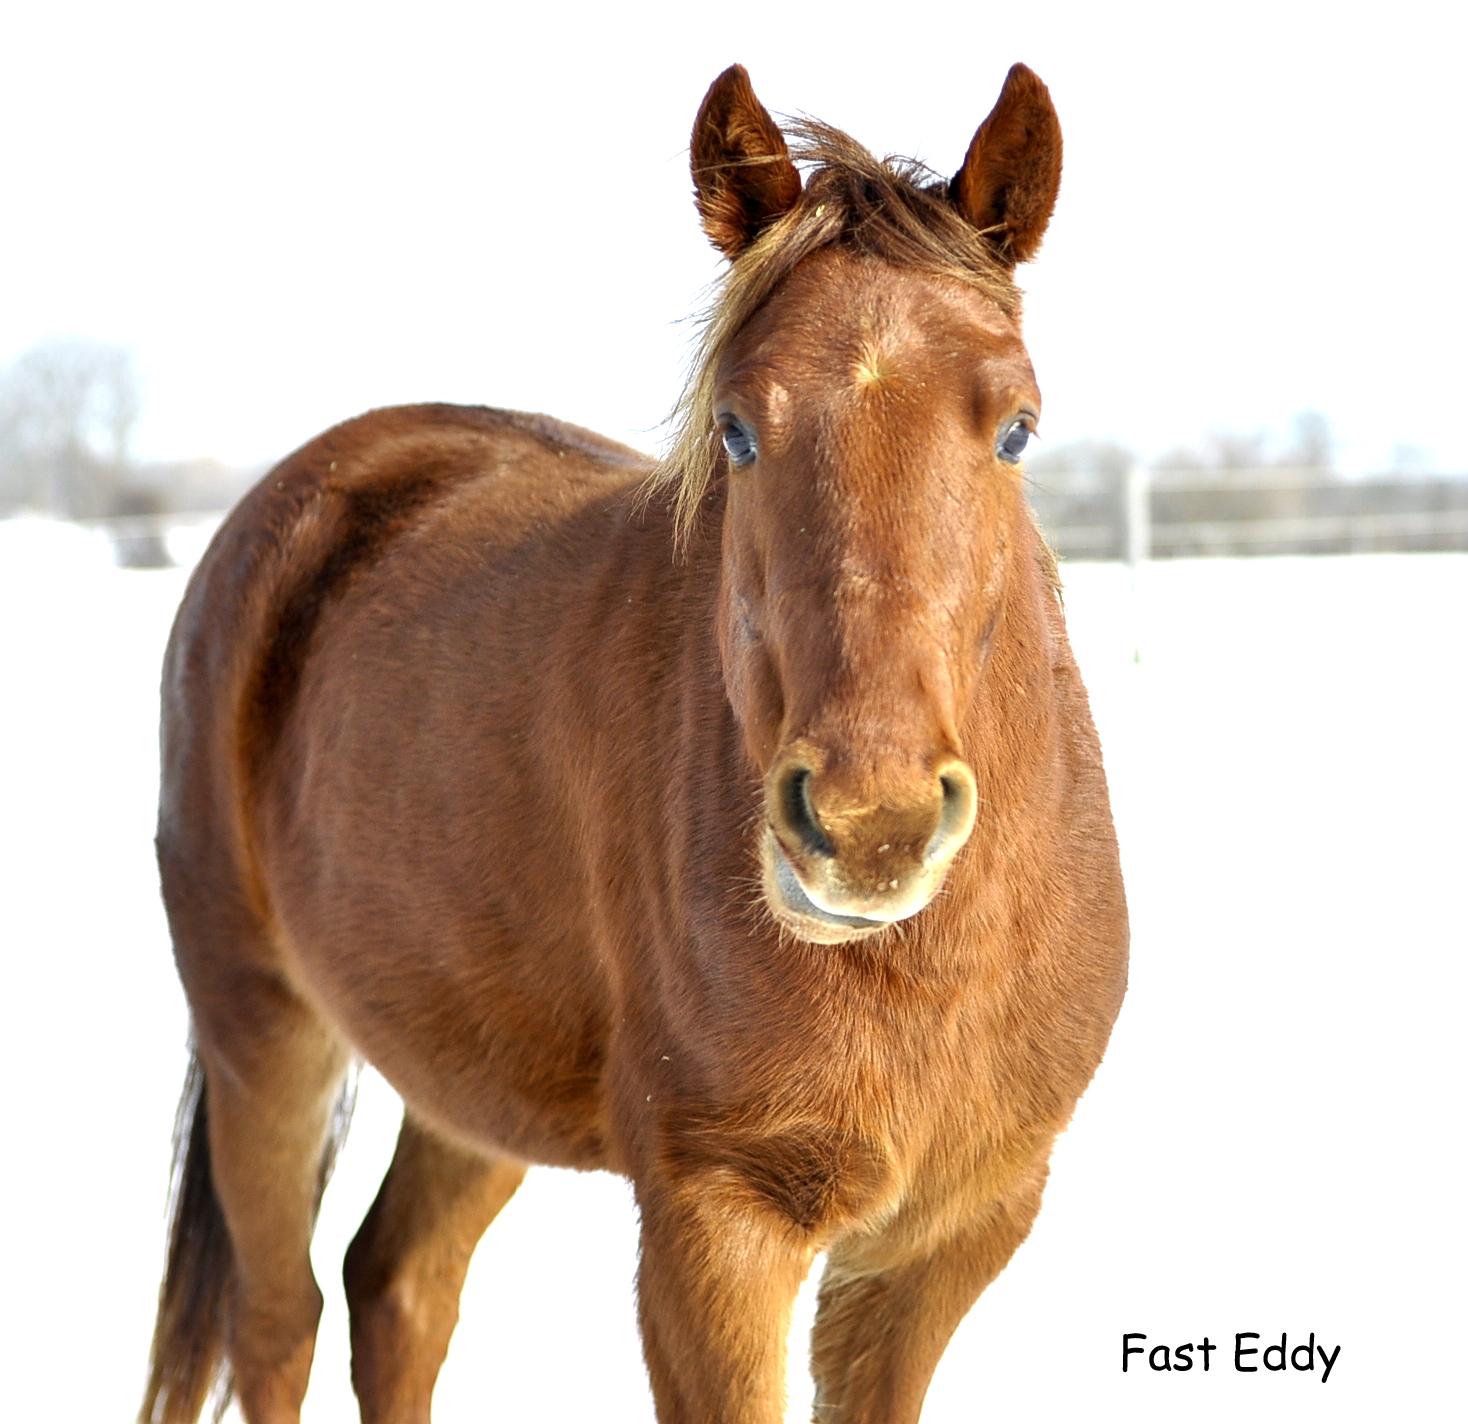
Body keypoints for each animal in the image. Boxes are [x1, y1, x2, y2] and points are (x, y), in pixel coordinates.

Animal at [142, 61, 1127, 1424]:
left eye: (1017, 426)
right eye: (737, 428)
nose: (869, 823)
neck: (930, 970)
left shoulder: (946, 1239)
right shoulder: (714, 1226)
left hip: (463, 1067)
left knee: (398, 1288)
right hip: (260, 1026)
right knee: (278, 1318)